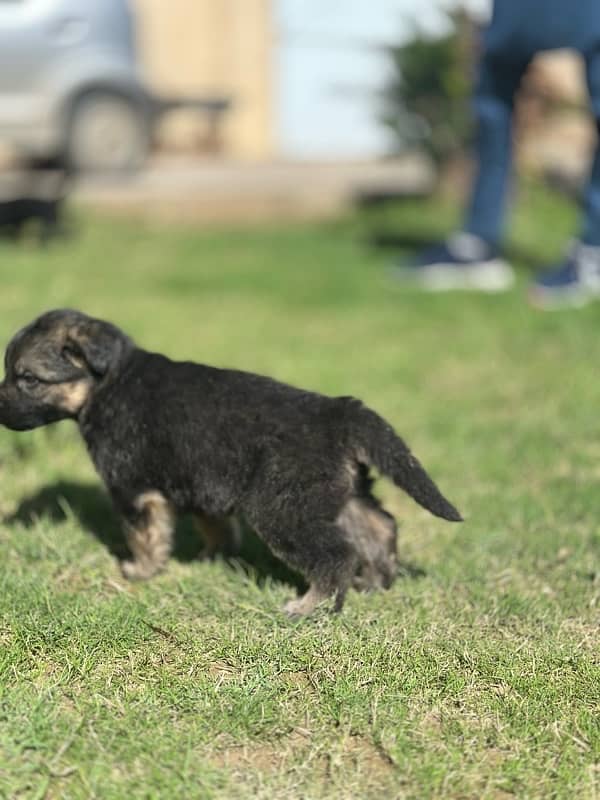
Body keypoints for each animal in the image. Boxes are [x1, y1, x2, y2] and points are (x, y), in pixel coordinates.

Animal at [0, 310, 462, 616]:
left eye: (28, 379)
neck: (109, 382)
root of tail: (340, 411)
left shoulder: (133, 490)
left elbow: (144, 536)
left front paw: (140, 570)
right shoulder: (202, 484)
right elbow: (214, 525)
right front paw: (211, 557)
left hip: (282, 508)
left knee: (335, 554)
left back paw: (310, 606)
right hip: (338, 494)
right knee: (380, 525)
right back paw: (377, 582)